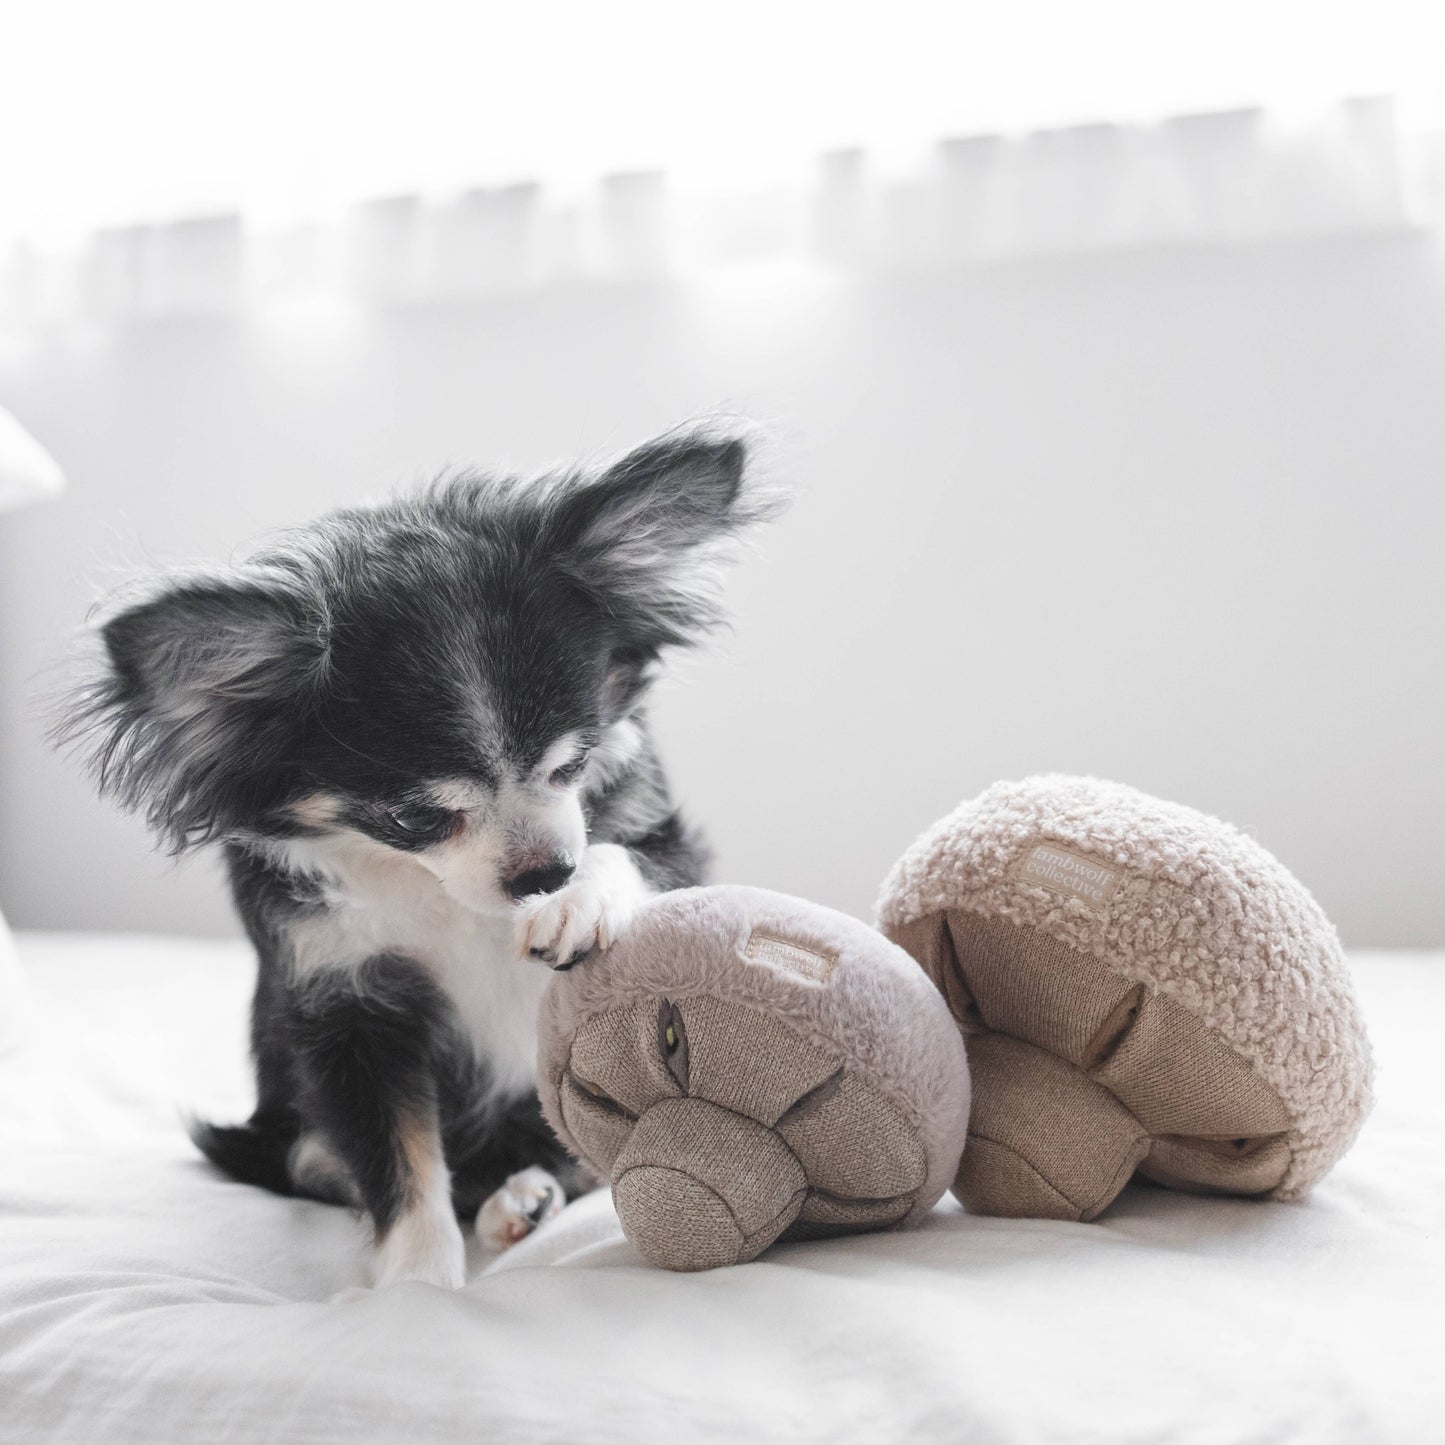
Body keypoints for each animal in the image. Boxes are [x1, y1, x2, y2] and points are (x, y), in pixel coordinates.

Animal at [59, 421, 780, 1288]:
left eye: (572, 765)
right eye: (413, 818)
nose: (544, 872)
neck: (444, 895)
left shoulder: (671, 849)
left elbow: (629, 856)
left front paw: (577, 900)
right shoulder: (347, 1007)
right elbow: (399, 1165)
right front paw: (418, 1289)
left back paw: (534, 1195)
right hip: (288, 1133)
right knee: (339, 1162)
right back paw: (510, 1204)